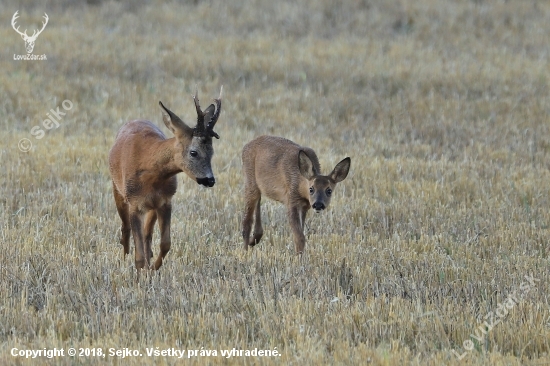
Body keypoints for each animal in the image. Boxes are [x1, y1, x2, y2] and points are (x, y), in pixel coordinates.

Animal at [109, 86, 223, 270]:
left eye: (212, 152)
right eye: (194, 152)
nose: (210, 180)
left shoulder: (165, 201)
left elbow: (165, 243)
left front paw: (153, 268)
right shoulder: (134, 203)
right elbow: (138, 253)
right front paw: (140, 271)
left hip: (152, 206)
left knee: (147, 235)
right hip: (117, 189)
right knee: (125, 228)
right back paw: (125, 257)